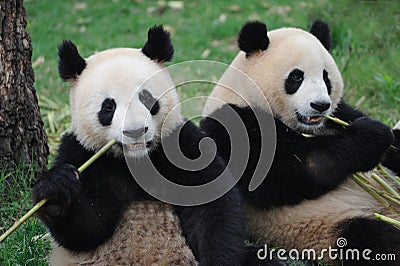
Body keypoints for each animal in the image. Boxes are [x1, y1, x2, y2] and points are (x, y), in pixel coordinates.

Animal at [31, 25, 255, 266]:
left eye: (146, 98)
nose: (135, 131)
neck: (135, 160)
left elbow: (212, 205)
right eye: (108, 107)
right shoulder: (82, 152)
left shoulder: (180, 144)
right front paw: (55, 192)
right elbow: (87, 230)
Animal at [202, 19, 400, 264]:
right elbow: (295, 171)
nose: (320, 105)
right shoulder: (232, 126)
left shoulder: (339, 114)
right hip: (333, 225)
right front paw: (372, 134)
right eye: (296, 77)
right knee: (371, 237)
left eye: (326, 77)